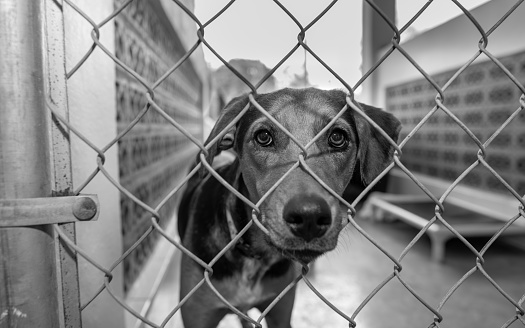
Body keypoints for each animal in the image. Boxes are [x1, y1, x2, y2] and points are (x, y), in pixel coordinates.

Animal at [177, 88, 402, 328]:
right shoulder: (198, 316)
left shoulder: (280, 313)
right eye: (263, 136)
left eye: (337, 137)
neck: (254, 256)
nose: (309, 217)